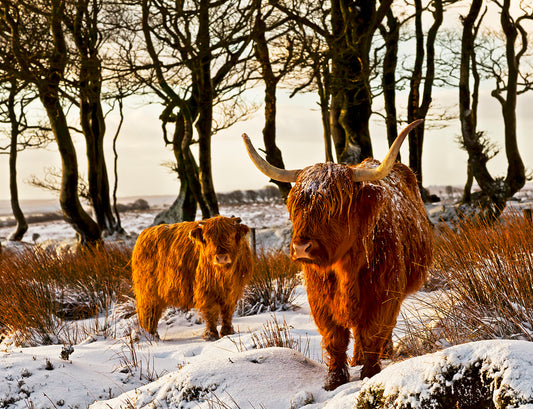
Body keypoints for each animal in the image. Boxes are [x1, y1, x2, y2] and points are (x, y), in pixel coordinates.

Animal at [241, 118, 432, 388]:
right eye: (296, 206)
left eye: (335, 208)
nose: (301, 248)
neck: (345, 269)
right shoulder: (320, 300)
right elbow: (335, 338)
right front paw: (335, 379)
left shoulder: (384, 296)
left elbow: (373, 332)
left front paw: (370, 372)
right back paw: (356, 359)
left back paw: (382, 354)